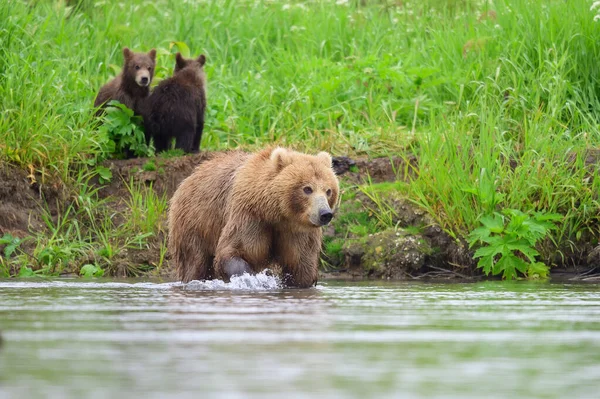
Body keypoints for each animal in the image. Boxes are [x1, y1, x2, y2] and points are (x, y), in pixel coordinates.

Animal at [166, 147, 340, 288]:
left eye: (328, 190)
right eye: (307, 189)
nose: (325, 214)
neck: (276, 214)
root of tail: (189, 178)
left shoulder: (297, 231)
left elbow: (301, 265)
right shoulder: (250, 216)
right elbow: (236, 250)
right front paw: (254, 278)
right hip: (195, 222)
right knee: (194, 262)